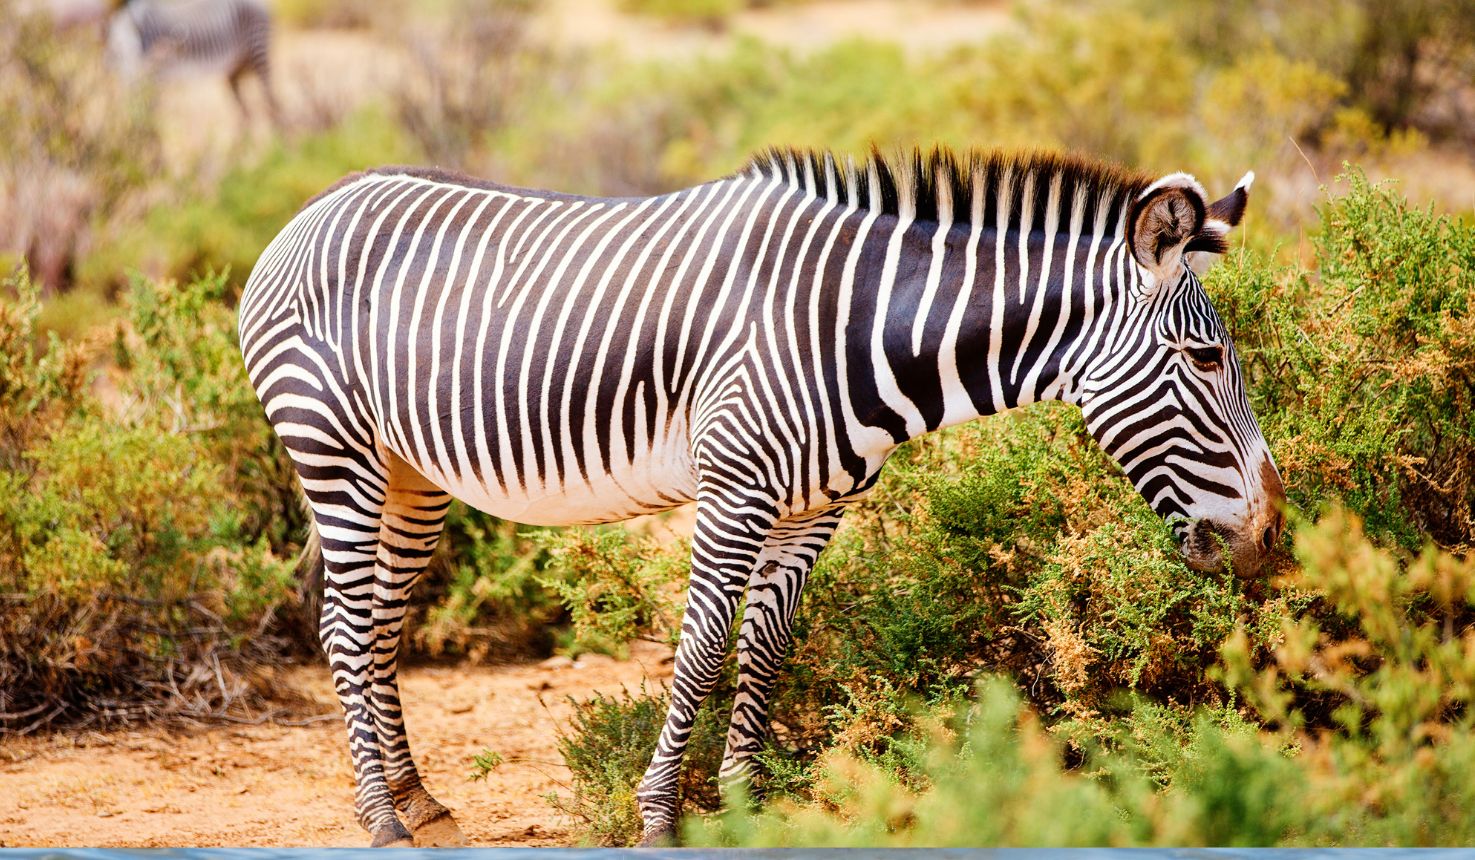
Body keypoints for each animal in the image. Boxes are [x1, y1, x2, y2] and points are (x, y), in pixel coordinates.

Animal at [106, 0, 281, 126]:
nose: (131, 83)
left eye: (136, 48)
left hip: (258, 52)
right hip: (235, 69)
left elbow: (149, 120)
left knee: (273, 105)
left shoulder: (155, 79)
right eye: (115, 54)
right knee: (246, 114)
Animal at [236, 148, 1286, 849]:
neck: (858, 330)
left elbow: (766, 649)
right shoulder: (734, 488)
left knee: (380, 624)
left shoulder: (814, 508)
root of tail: (316, 204)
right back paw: (380, 817)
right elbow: (703, 648)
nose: (1271, 534)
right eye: (1204, 358)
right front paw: (660, 816)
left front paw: (745, 802)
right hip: (332, 448)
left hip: (410, 473)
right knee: (342, 625)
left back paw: (418, 799)